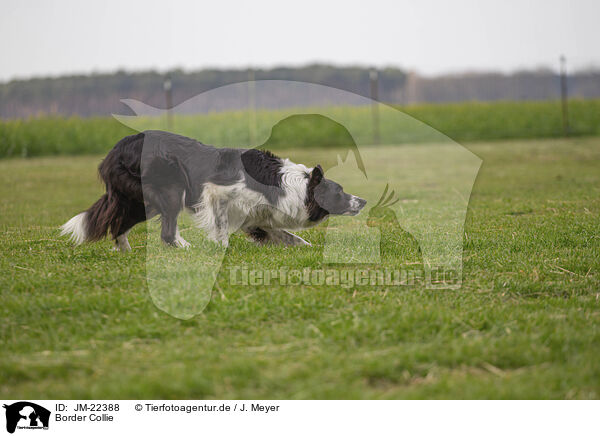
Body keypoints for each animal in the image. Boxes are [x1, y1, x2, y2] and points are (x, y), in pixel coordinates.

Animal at [63, 130, 368, 252]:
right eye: (340, 192)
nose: (363, 201)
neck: (289, 184)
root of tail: (115, 150)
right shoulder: (216, 193)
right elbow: (221, 227)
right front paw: (220, 249)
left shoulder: (257, 217)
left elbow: (290, 237)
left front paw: (305, 249)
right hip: (172, 191)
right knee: (166, 232)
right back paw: (185, 248)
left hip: (139, 202)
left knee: (118, 225)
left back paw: (125, 251)